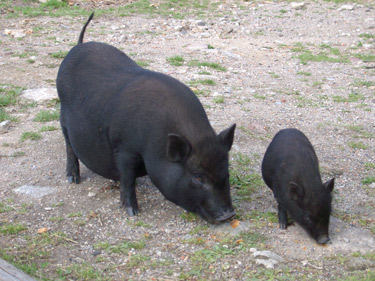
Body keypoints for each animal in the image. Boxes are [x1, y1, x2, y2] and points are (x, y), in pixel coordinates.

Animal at [57, 13, 236, 223]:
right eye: (198, 177)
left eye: (226, 172)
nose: (229, 214)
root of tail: (78, 46)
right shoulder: (123, 148)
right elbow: (127, 179)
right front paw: (132, 212)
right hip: (62, 117)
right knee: (69, 146)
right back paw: (73, 179)